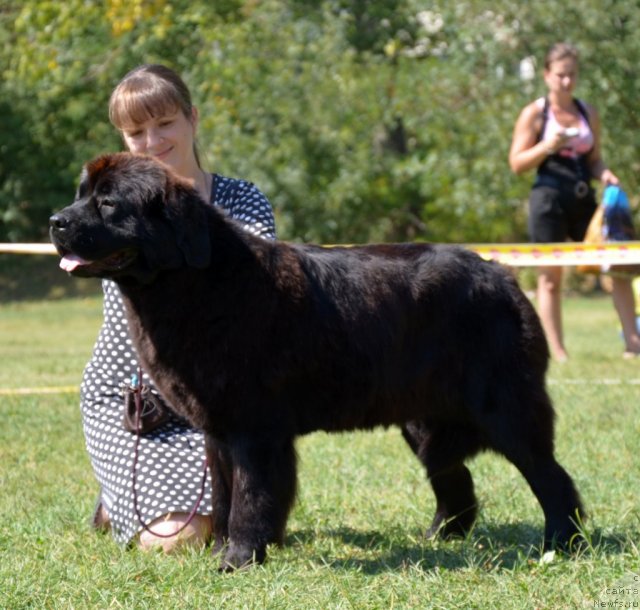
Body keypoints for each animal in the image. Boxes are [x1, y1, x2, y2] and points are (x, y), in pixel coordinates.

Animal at [48, 153, 584, 568]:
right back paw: (441, 537)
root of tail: (503, 276)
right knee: (456, 478)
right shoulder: (218, 432)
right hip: (423, 420)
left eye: (108, 203)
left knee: (551, 476)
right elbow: (223, 496)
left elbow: (249, 497)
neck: (199, 283)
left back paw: (561, 544)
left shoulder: (252, 430)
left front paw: (237, 559)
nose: (56, 221)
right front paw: (223, 550)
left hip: (505, 408)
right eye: (80, 195)